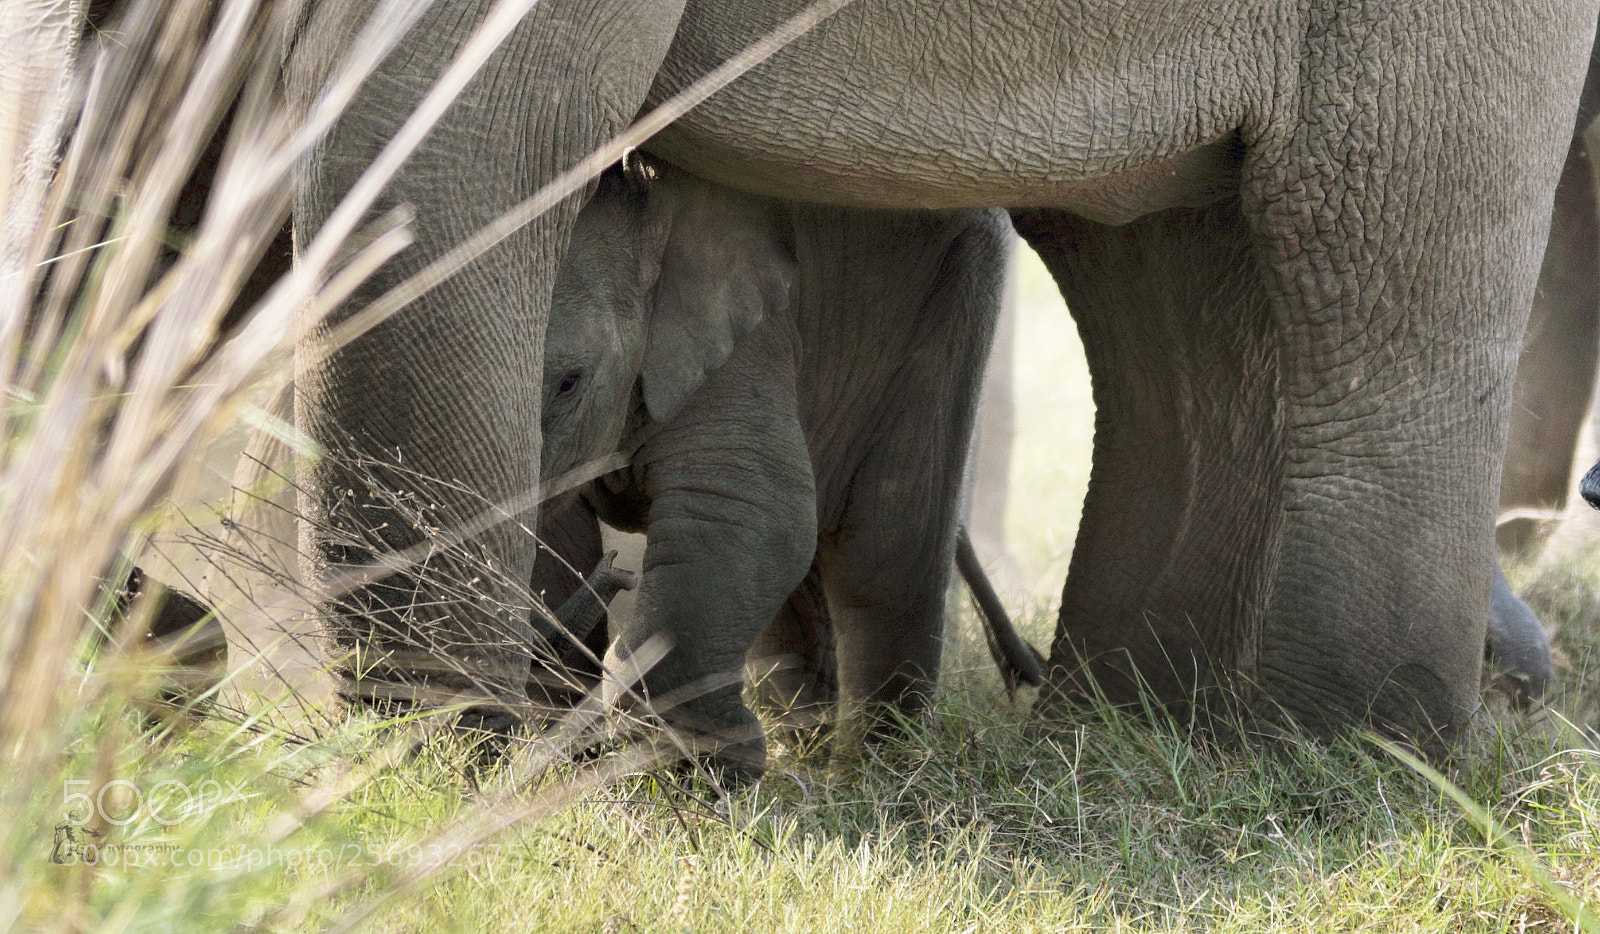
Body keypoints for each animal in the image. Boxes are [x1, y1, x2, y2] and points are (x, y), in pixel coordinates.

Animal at [284, 0, 1598, 759]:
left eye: (565, 382)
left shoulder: (733, 345)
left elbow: (755, 514)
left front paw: (611, 766)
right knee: (1174, 294)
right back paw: (1127, 739)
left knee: (1378, 253)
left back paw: (1340, 761)